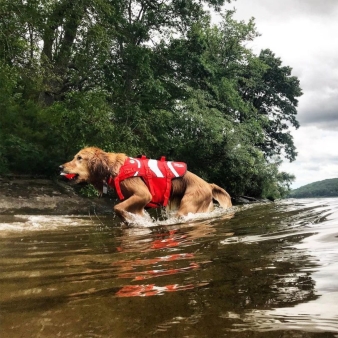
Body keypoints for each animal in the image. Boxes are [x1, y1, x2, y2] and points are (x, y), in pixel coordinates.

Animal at [58, 147, 232, 222]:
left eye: (79, 158)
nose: (60, 167)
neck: (113, 168)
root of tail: (208, 184)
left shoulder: (143, 194)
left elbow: (117, 208)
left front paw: (131, 219)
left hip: (188, 205)